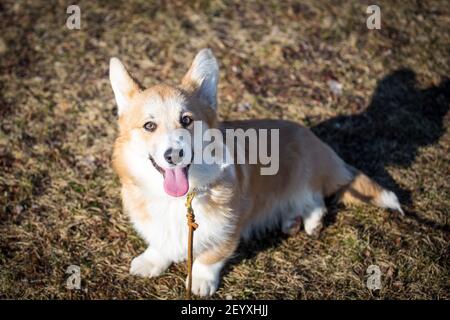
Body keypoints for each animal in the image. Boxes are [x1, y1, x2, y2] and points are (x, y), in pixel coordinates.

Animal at [110, 48, 404, 296]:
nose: (174, 155)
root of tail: (324, 149)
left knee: (316, 197)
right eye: (149, 126)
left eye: (186, 120)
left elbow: (210, 257)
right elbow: (160, 242)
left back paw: (311, 222)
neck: (181, 198)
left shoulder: (228, 228)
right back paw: (292, 220)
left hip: (303, 170)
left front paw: (201, 281)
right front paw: (151, 261)